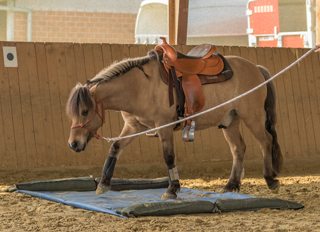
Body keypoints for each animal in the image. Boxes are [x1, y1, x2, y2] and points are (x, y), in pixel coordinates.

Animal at [66, 46, 282, 198]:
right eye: (72, 114)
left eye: (85, 111)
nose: (73, 144)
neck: (140, 86)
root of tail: (256, 68)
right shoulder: (133, 126)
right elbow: (115, 148)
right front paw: (103, 183)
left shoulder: (164, 127)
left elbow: (169, 157)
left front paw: (172, 189)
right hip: (230, 121)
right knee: (238, 149)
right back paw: (231, 185)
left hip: (253, 116)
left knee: (266, 142)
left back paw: (271, 180)